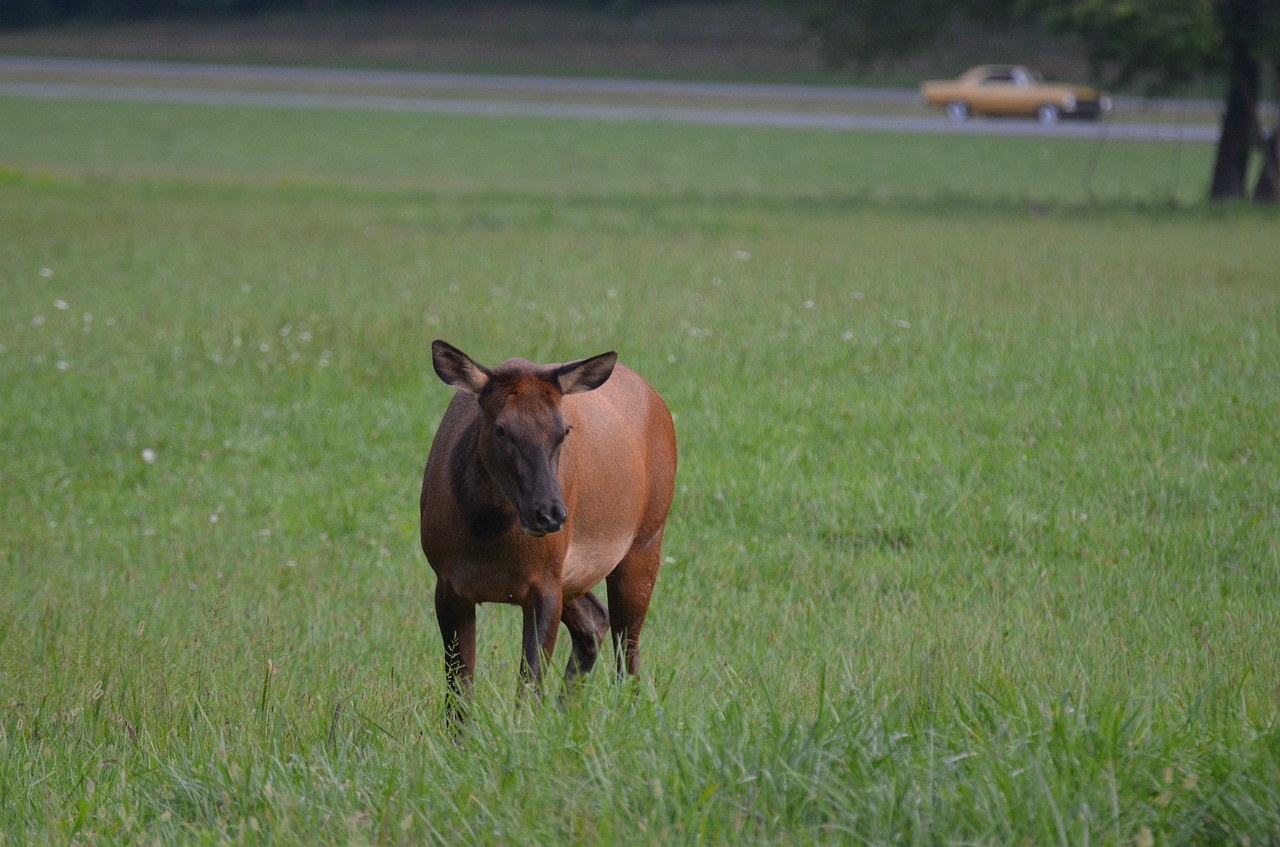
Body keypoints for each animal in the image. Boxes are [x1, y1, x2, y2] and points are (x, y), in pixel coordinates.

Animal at [419, 340, 680, 716]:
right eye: (500, 429)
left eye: (564, 430)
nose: (550, 513)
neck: (486, 537)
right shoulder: (448, 582)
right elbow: (459, 697)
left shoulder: (544, 584)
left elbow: (528, 689)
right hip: (573, 576)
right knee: (596, 621)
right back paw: (565, 713)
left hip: (646, 539)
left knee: (628, 650)